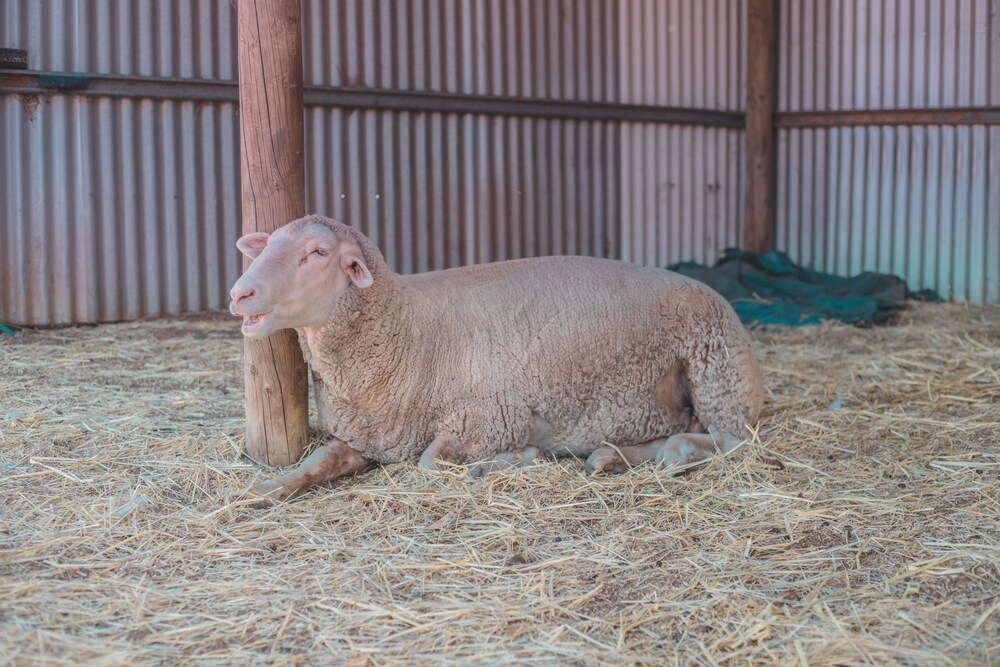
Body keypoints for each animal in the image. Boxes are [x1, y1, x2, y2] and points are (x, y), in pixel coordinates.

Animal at [230, 217, 760, 504]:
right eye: (269, 243)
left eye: (318, 252)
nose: (240, 293)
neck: (409, 328)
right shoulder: (366, 435)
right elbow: (318, 460)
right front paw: (266, 488)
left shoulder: (485, 417)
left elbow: (431, 463)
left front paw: (517, 460)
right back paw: (611, 456)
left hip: (717, 371)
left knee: (730, 440)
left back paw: (662, 454)